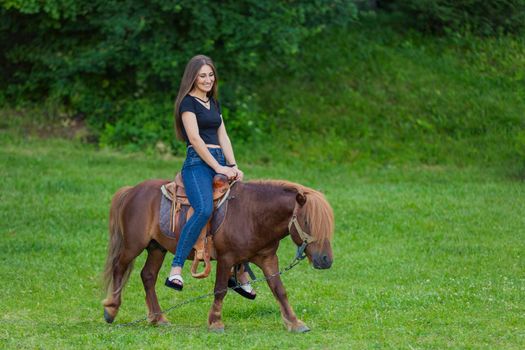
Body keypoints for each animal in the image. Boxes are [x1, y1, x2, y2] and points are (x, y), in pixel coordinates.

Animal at [100, 179, 334, 332]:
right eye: (308, 222)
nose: (326, 260)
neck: (252, 214)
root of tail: (132, 190)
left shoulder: (268, 259)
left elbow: (279, 290)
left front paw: (295, 323)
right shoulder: (226, 258)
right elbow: (220, 290)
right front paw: (215, 322)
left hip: (157, 247)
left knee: (148, 276)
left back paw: (158, 318)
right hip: (133, 245)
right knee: (119, 267)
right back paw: (111, 310)